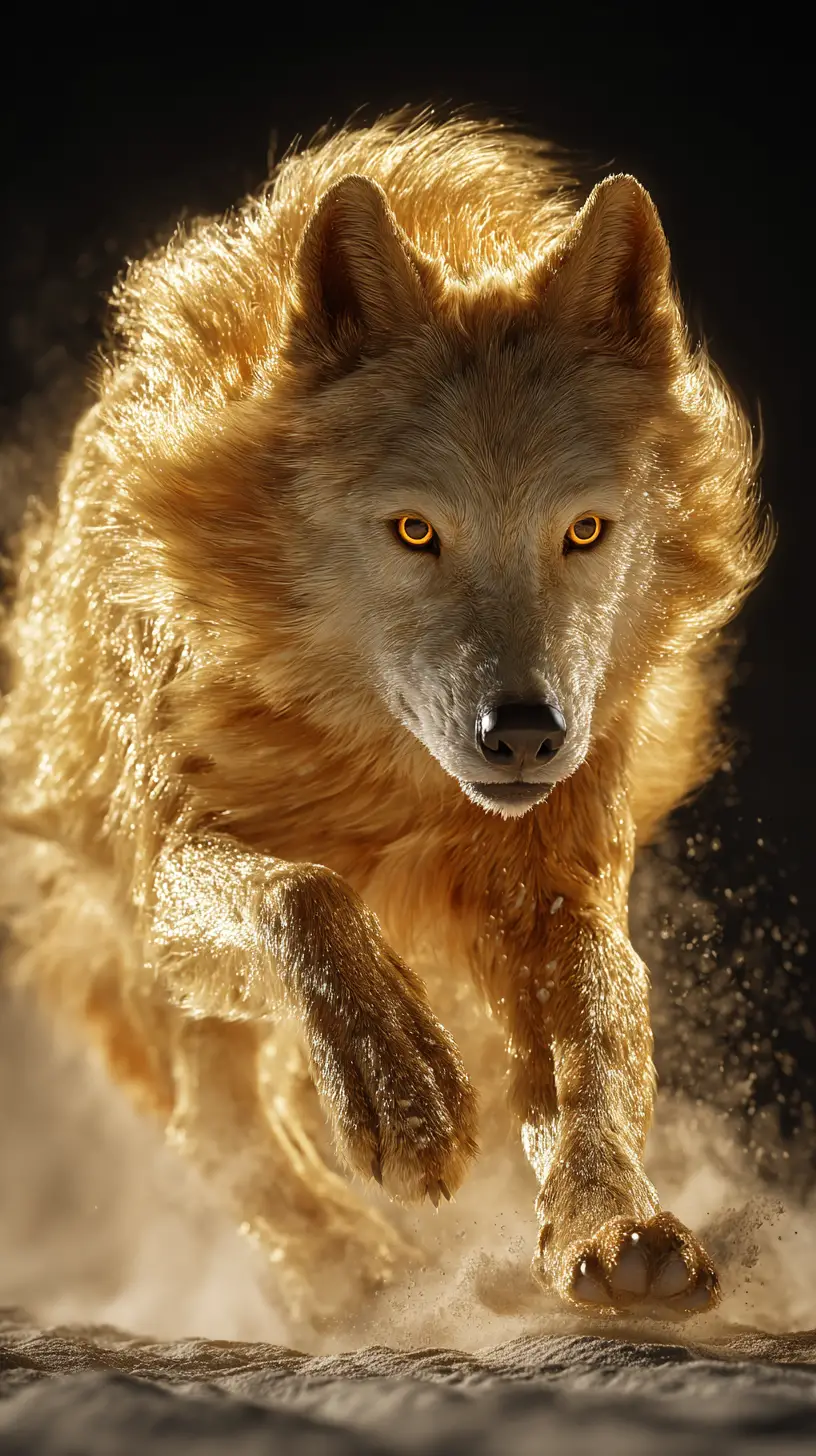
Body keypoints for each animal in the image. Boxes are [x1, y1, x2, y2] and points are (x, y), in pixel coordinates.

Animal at [0, 111, 771, 1326]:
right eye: (416, 529)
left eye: (585, 529)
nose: (525, 733)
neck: (378, 772)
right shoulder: (166, 858)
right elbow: (304, 894)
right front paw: (404, 1094)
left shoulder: (558, 875)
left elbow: (593, 1052)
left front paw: (618, 1229)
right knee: (215, 1124)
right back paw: (356, 1276)